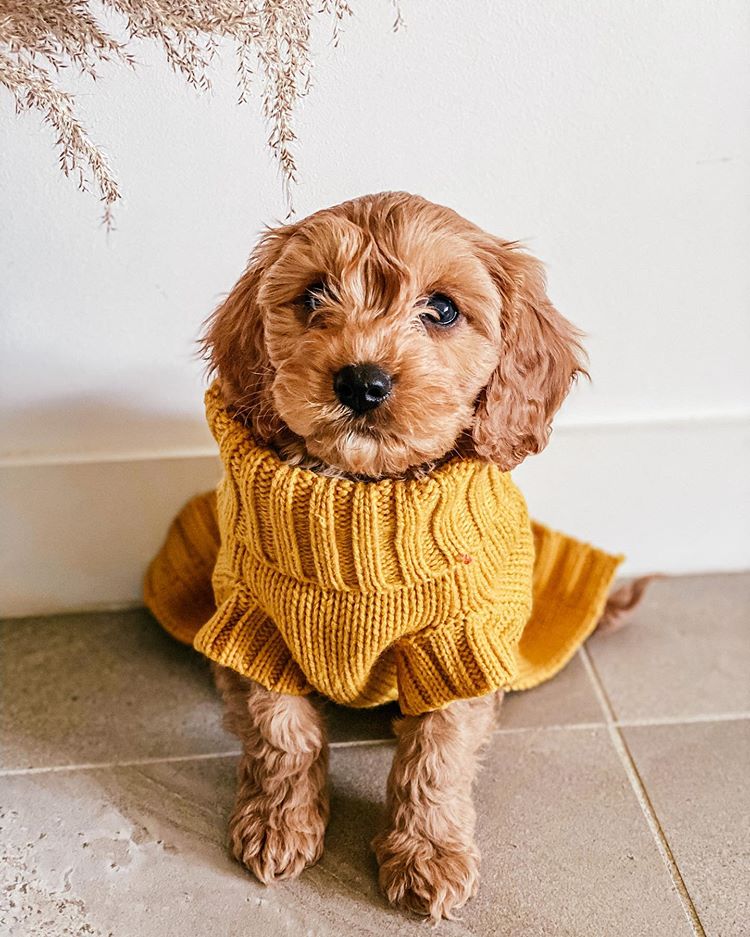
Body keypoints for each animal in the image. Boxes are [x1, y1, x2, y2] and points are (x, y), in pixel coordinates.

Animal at [201, 192, 588, 920]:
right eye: (314, 295)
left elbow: (437, 756)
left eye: (442, 309)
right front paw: (277, 822)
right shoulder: (259, 625)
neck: (361, 496)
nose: (362, 382)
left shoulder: (456, 642)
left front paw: (428, 854)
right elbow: (281, 732)